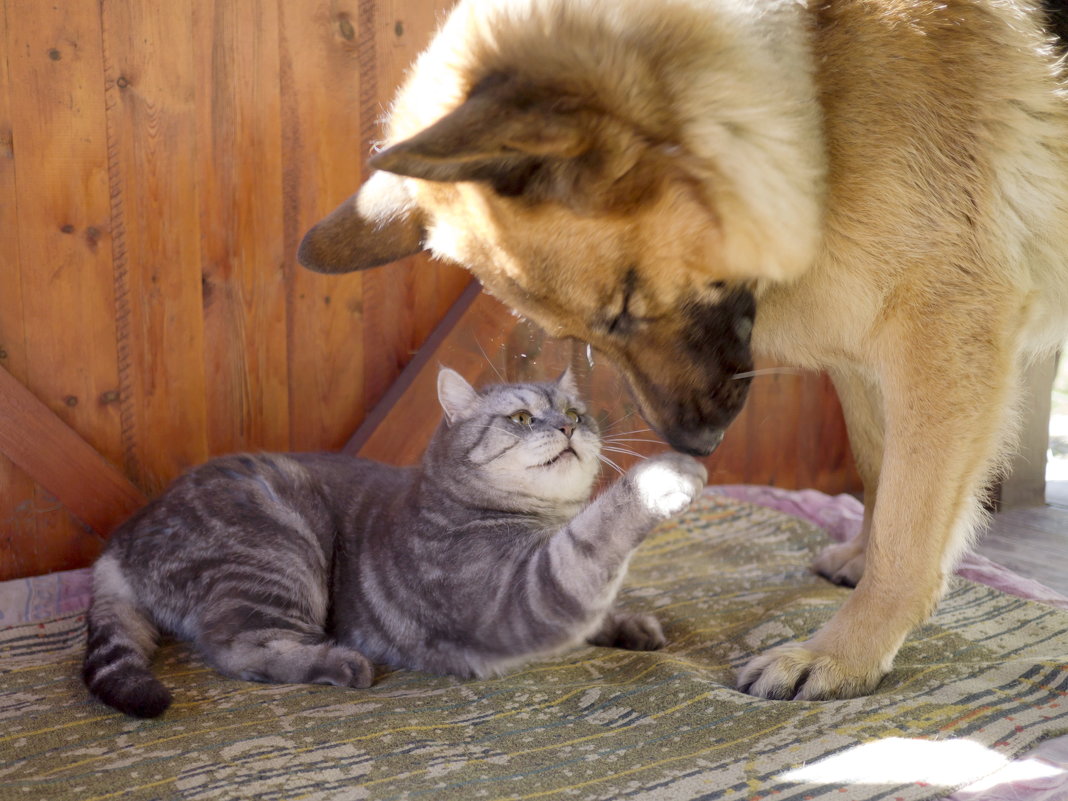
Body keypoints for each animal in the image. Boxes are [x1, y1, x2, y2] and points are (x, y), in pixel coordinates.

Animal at [83, 367, 709, 717]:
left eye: (577, 412)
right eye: (522, 417)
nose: (568, 425)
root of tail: (122, 540)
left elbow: (596, 591)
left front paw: (627, 625)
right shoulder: (522, 597)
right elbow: (591, 543)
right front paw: (664, 477)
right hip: (278, 550)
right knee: (237, 649)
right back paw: (339, 663)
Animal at [296, 0, 1068, 700]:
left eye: (628, 304)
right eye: (583, 336)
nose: (696, 447)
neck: (815, 90)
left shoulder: (940, 332)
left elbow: (908, 530)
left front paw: (843, 653)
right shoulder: (867, 348)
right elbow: (882, 476)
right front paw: (860, 561)